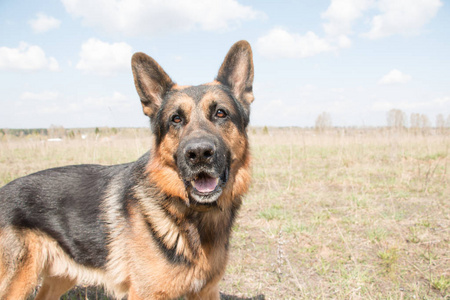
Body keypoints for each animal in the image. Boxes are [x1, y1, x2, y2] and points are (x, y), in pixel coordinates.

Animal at [0, 40, 253, 300]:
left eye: (220, 113)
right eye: (176, 119)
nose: (199, 153)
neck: (191, 215)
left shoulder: (206, 291)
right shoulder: (145, 293)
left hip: (60, 278)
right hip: (18, 284)